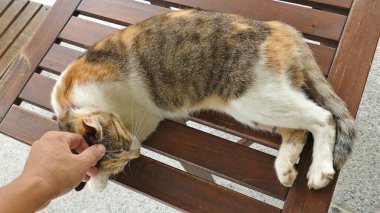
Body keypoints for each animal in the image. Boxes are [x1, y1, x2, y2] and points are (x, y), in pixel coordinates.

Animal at [51, 9, 356, 192]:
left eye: (126, 144)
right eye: (124, 159)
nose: (137, 152)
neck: (70, 103)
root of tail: (279, 27)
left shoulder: (137, 109)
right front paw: (97, 179)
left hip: (254, 97)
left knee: (323, 117)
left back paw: (319, 170)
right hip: (255, 109)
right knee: (298, 130)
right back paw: (285, 168)